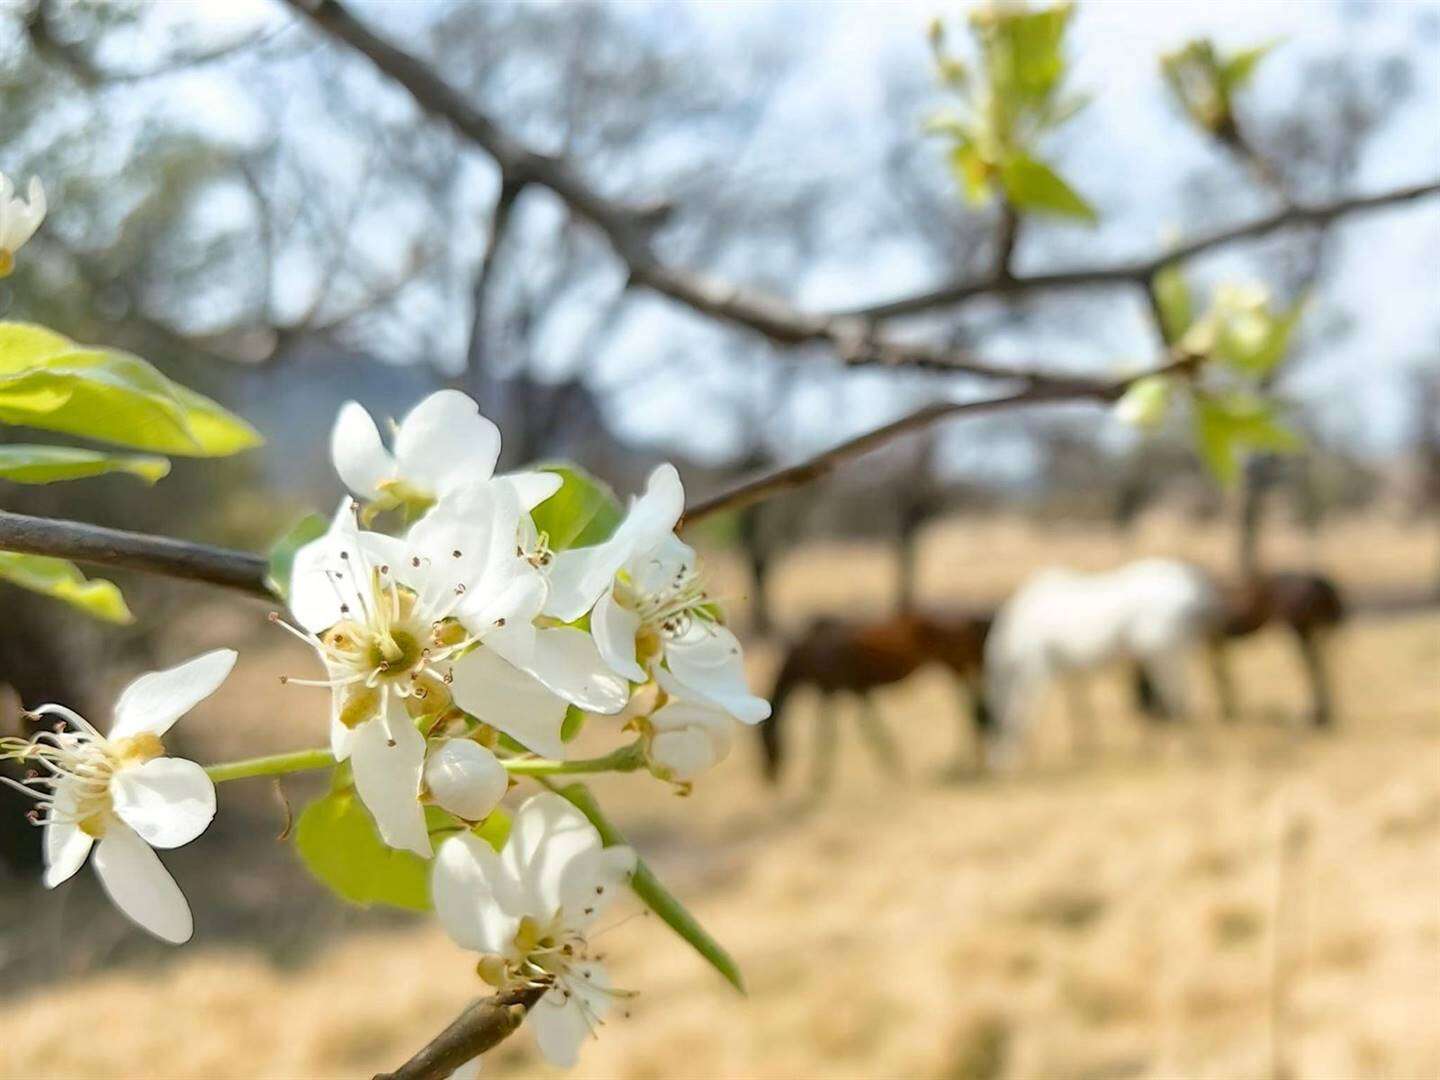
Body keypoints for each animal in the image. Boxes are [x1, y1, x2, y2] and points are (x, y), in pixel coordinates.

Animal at [754, 613, 990, 789]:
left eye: (766, 741)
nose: (769, 779)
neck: (809, 655)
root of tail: (963, 623)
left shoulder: (833, 691)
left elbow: (831, 734)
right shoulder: (854, 690)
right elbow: (866, 726)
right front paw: (893, 763)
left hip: (954, 665)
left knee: (967, 703)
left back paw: (967, 758)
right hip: (954, 667)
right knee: (969, 702)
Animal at [990, 561, 1226, 766]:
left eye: (986, 717)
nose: (992, 760)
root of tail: (1196, 586)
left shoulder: (1037, 666)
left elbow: (1021, 710)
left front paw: (1008, 757)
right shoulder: (1070, 672)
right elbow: (1079, 708)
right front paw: (1085, 746)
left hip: (1162, 653)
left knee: (1175, 697)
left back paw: (1179, 747)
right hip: (1177, 650)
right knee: (1182, 696)